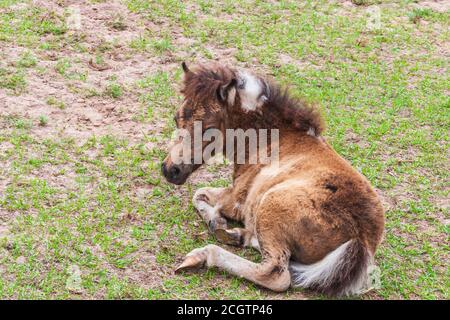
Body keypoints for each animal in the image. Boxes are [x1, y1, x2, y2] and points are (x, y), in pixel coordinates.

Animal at [160, 62, 384, 298]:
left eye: (209, 128)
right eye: (176, 118)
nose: (170, 170)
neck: (270, 139)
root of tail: (361, 239)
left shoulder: (236, 199)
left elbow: (199, 193)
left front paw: (216, 221)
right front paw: (220, 224)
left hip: (270, 206)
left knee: (275, 273)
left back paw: (204, 255)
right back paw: (236, 234)